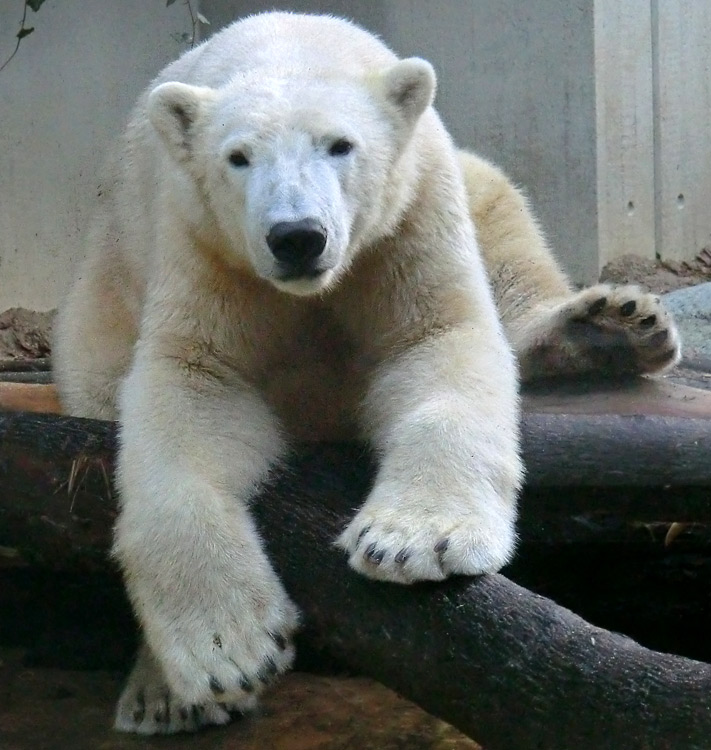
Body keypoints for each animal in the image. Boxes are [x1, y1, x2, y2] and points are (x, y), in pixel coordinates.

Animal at [52, 13, 680, 740]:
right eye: (238, 157)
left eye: (339, 145)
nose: (297, 236)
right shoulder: (204, 245)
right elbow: (194, 387)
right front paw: (229, 649)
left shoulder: (408, 215)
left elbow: (437, 344)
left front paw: (414, 543)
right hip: (98, 305)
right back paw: (163, 697)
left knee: (503, 219)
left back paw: (611, 328)